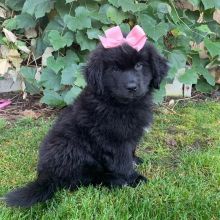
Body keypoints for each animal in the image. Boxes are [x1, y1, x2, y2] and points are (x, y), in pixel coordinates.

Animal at [3, 26, 168, 207]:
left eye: (139, 65)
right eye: (115, 69)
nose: (132, 87)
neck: (119, 103)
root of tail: (48, 176)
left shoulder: (130, 136)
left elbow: (131, 150)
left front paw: (135, 160)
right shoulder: (113, 140)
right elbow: (122, 161)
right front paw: (134, 179)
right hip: (73, 149)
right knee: (85, 180)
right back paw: (115, 181)